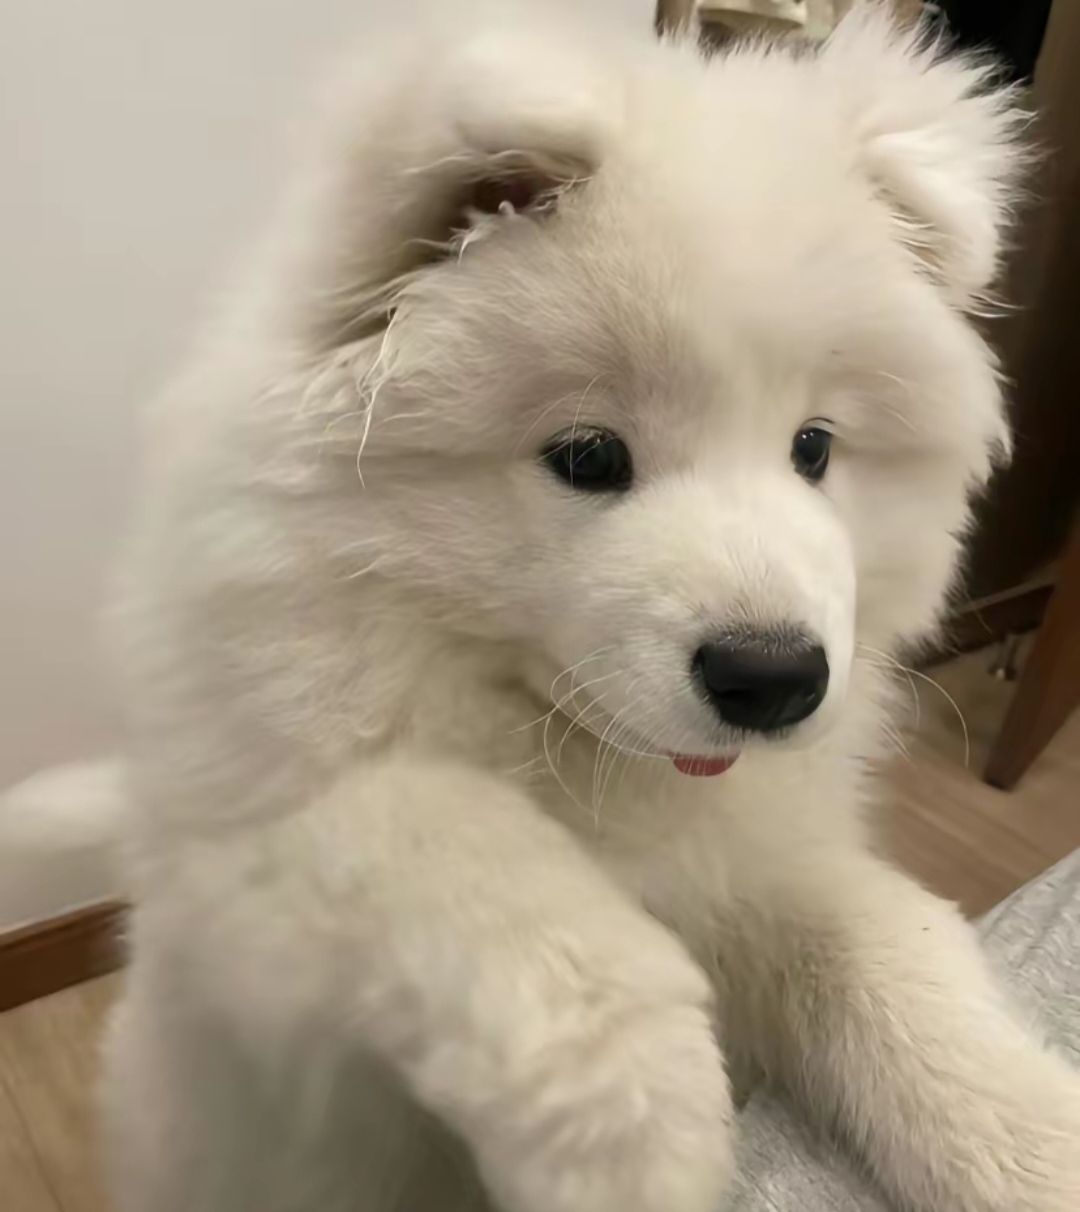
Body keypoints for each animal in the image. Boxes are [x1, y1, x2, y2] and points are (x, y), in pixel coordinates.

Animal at [101, 5, 1080, 1210]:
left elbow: (882, 943)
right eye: (588, 457)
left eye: (814, 449)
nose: (774, 679)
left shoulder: (759, 869)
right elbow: (445, 836)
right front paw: (641, 1128)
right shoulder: (248, 891)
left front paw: (1027, 1138)